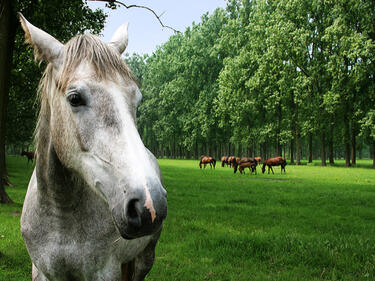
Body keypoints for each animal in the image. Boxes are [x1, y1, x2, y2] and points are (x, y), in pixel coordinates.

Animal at [18, 13, 167, 280]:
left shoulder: (105, 272)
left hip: (144, 258)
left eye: (137, 99)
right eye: (74, 98)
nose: (150, 205)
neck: (60, 214)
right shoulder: (42, 271)